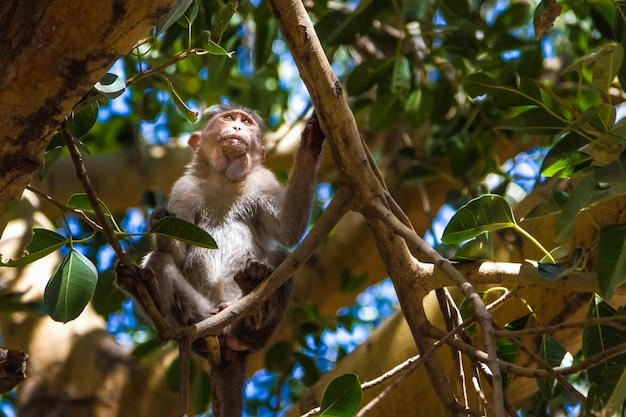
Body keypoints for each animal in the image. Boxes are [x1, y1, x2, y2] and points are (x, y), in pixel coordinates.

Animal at [114, 101, 324, 416]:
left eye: (246, 122)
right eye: (229, 118)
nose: (237, 126)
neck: (225, 179)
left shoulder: (262, 181)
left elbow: (288, 231)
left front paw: (311, 142)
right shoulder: (184, 189)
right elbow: (174, 251)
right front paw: (159, 222)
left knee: (280, 257)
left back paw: (252, 300)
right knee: (160, 262)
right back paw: (152, 294)